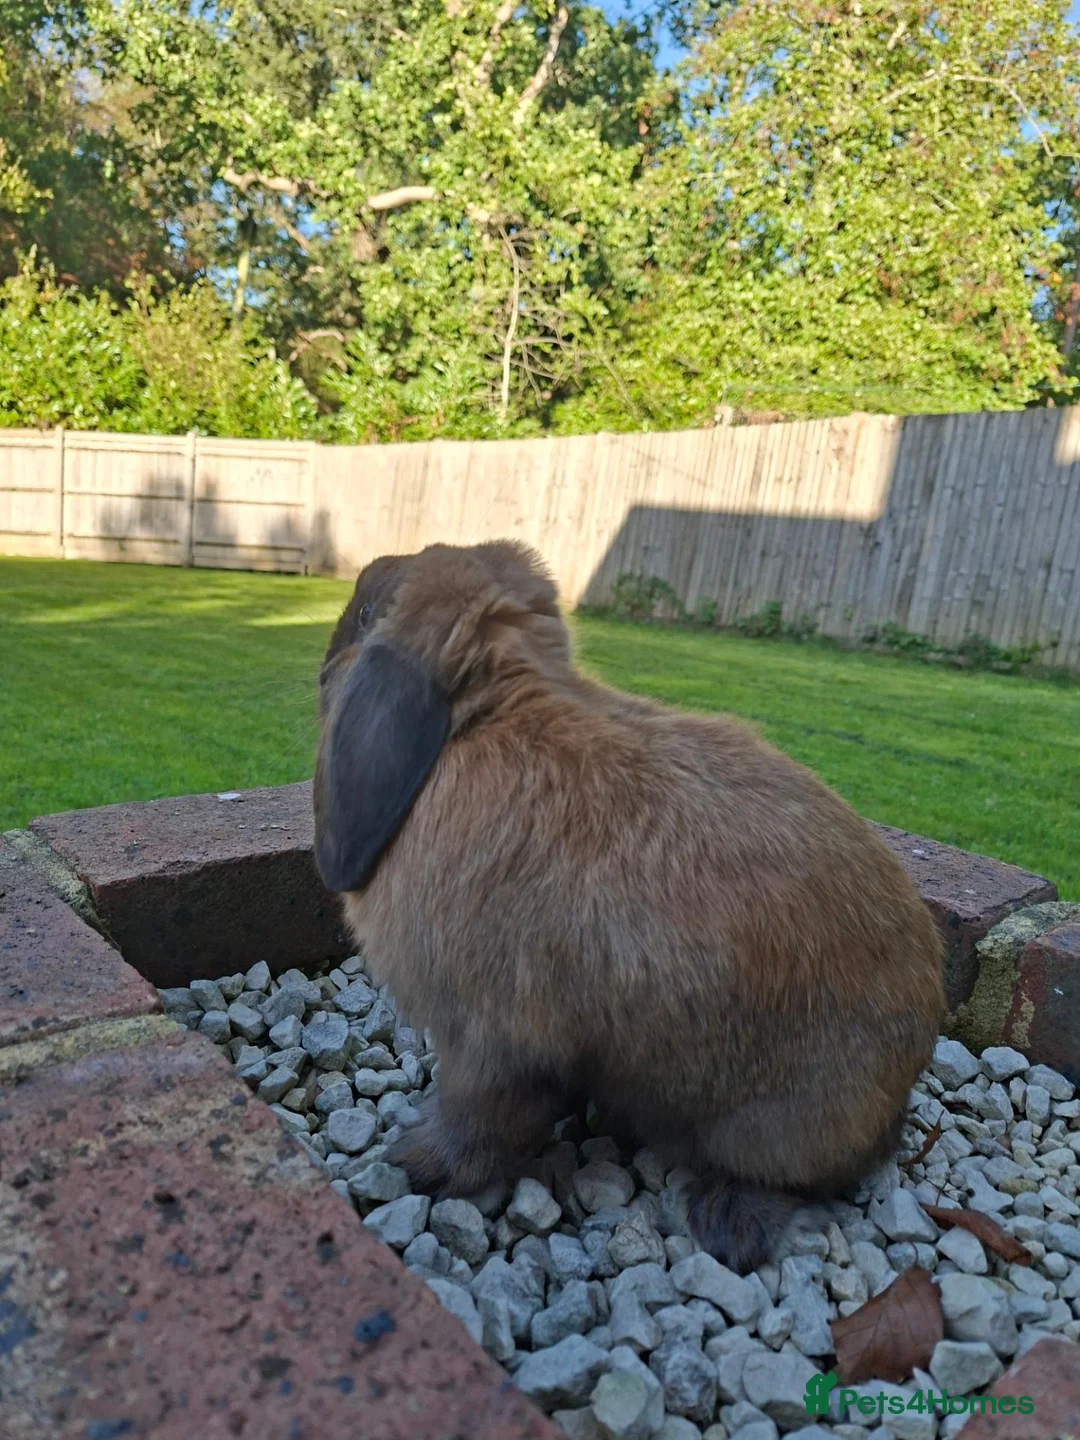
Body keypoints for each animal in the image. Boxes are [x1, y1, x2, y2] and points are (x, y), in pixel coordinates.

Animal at [313, 539, 945, 1273]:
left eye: (365, 615)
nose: (324, 666)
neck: (485, 720)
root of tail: (900, 1092)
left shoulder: (485, 1041)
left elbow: (478, 1120)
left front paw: (413, 1164)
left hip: (769, 1126)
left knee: (792, 1177)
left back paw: (728, 1223)